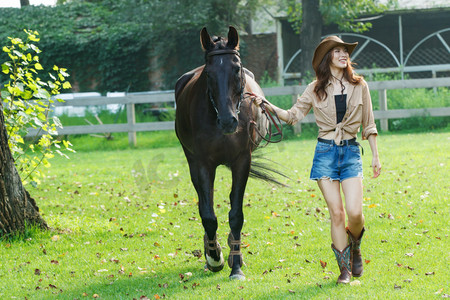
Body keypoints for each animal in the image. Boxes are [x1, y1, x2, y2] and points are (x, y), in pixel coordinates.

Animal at [175, 26, 282, 282]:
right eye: (209, 73)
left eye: (236, 69)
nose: (227, 121)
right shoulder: (202, 164)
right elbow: (208, 214)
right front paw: (215, 257)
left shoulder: (242, 161)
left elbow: (236, 214)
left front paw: (236, 265)